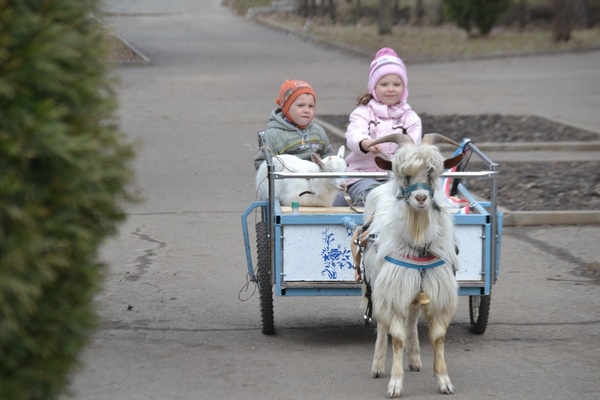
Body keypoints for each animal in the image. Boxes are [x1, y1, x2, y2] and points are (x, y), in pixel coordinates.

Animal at [358, 132, 462, 396]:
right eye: (405, 175)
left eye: (432, 174)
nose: (421, 198)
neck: (418, 242)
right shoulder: (393, 293)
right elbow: (396, 338)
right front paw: (395, 384)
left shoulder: (438, 295)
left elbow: (437, 338)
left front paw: (444, 380)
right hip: (376, 285)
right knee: (382, 324)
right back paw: (377, 366)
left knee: (412, 321)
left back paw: (415, 360)